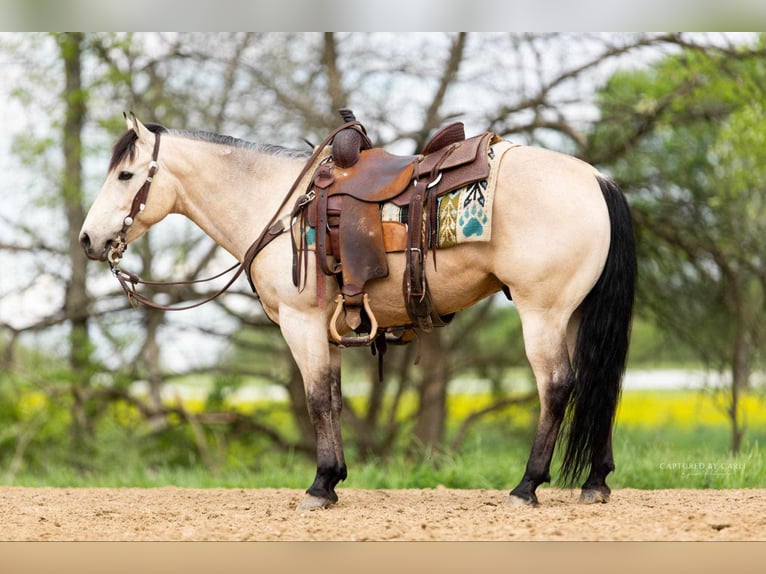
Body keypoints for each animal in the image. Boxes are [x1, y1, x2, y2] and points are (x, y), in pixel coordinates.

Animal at [81, 113, 640, 512]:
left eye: (126, 174)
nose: (89, 239)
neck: (280, 207)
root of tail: (597, 179)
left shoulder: (302, 323)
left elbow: (316, 401)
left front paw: (318, 486)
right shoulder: (325, 331)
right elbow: (332, 397)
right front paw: (333, 480)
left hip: (542, 312)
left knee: (557, 387)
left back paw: (526, 486)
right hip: (574, 314)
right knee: (600, 382)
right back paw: (596, 482)